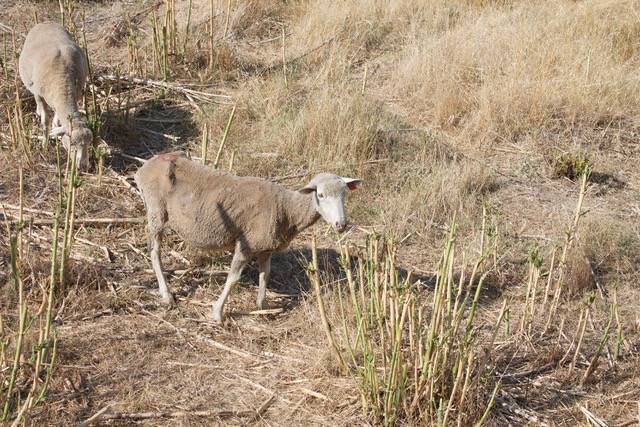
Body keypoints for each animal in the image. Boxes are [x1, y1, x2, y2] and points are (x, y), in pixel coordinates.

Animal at [18, 21, 93, 169]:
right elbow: (45, 121)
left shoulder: (74, 94)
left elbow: (57, 116)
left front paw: (56, 126)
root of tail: (46, 22)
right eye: (72, 143)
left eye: (89, 143)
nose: (83, 166)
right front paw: (45, 144)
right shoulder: (39, 95)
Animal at [134, 152, 360, 322]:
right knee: (154, 251)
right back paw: (166, 294)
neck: (286, 209)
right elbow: (233, 278)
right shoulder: (246, 243)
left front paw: (263, 304)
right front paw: (217, 313)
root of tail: (147, 165)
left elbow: (265, 274)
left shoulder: (266, 247)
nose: (341, 224)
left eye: (344, 194)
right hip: (156, 210)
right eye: (320, 195)